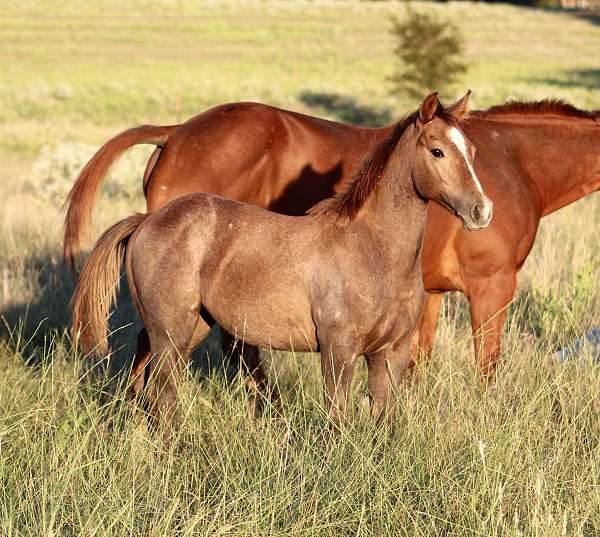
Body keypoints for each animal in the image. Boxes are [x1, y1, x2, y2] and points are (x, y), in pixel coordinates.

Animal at [65, 96, 600, 382]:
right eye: (440, 152)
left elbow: (414, 366)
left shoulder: (427, 296)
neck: (518, 163)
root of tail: (175, 133)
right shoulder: (492, 288)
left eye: (472, 152)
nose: (481, 212)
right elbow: (487, 369)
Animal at [71, 93, 492, 428]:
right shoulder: (339, 350)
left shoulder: (391, 352)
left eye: (472, 153)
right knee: (162, 390)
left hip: (193, 327)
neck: (373, 251)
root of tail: (146, 221)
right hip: (169, 331)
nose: (481, 211)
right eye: (436, 151)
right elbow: (336, 416)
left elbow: (383, 416)